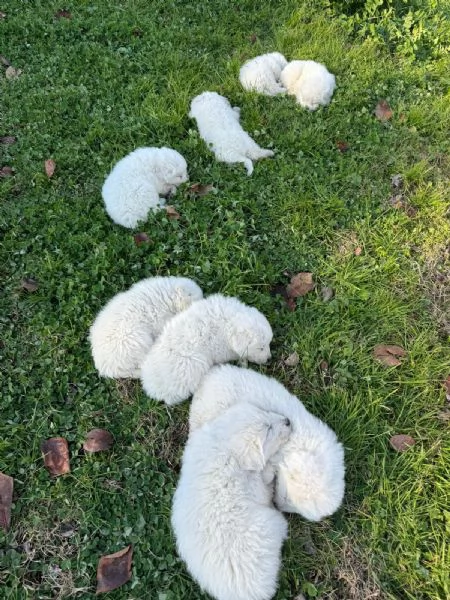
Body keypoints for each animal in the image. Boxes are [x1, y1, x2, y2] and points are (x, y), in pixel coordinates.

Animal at [141, 294, 272, 406]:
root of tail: (151, 386)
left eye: (269, 343)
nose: (269, 358)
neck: (230, 322)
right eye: (261, 348)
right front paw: (243, 361)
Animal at [171, 400, 290, 600]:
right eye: (268, 430)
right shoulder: (254, 485)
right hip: (272, 523)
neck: (224, 446)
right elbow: (265, 479)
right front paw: (273, 466)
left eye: (265, 412)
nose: (288, 421)